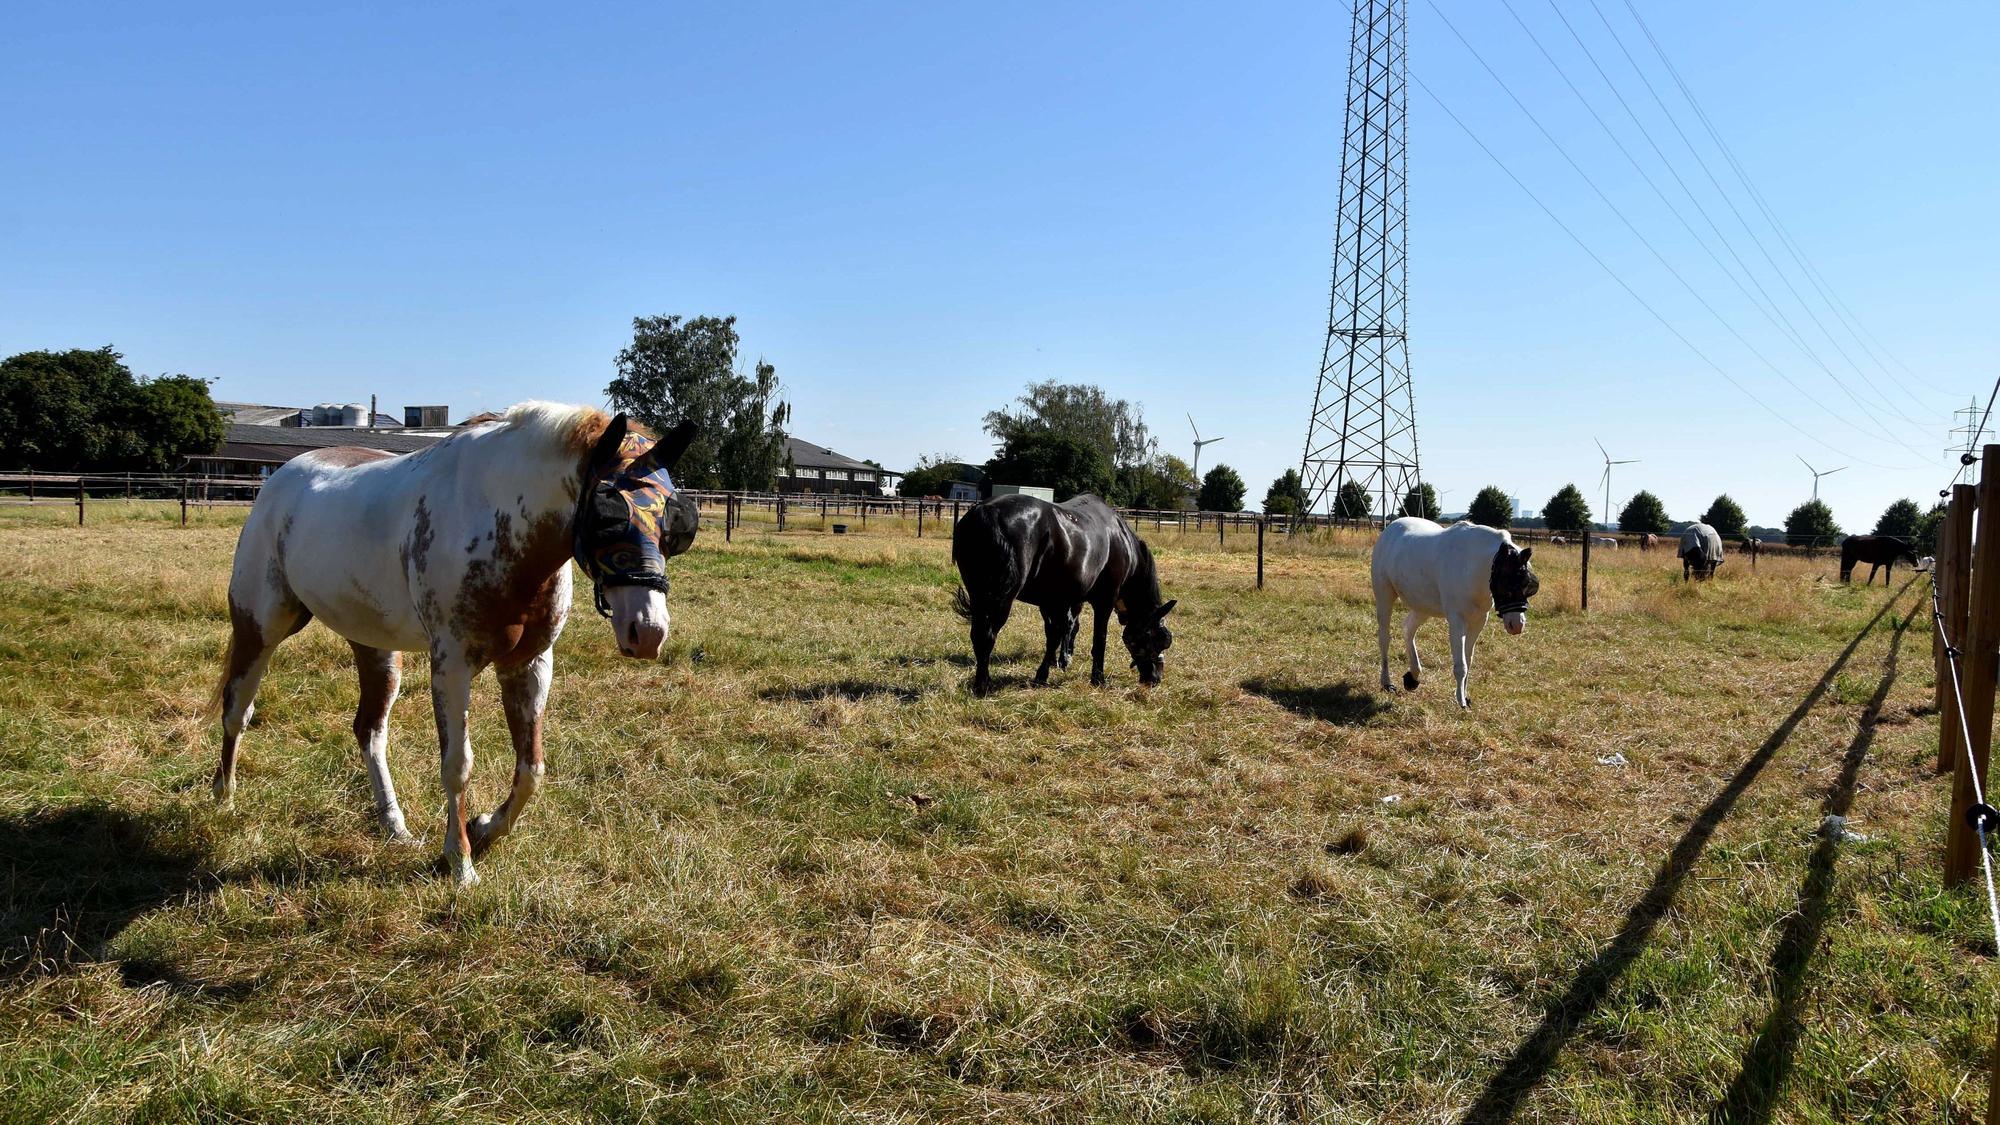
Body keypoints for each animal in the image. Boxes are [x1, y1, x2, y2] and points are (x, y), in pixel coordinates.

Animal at [211, 403, 699, 886]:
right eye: (608, 516)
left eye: (674, 524)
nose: (648, 630)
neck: (501, 526)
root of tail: (278, 481)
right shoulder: (452, 666)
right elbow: (457, 766)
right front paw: (460, 862)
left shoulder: (529, 665)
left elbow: (531, 770)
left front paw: (483, 830)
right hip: (261, 628)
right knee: (238, 709)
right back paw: (224, 797)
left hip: (375, 648)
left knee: (370, 731)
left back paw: (394, 825)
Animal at [952, 493, 1175, 695]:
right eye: (1159, 639)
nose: (1155, 678)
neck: (1121, 541)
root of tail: (985, 511)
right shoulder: (1104, 601)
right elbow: (1098, 640)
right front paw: (1097, 679)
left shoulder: (1055, 601)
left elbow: (1055, 634)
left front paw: (1046, 671)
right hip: (1001, 598)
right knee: (987, 636)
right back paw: (983, 685)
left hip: (978, 595)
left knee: (978, 635)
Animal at [1372, 517, 1540, 710]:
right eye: (1507, 582)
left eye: (1526, 584)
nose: (1517, 625)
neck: (1472, 565)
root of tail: (1391, 528)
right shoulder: (1457, 621)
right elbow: (1461, 665)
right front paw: (1461, 702)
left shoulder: (1479, 621)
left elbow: (1468, 659)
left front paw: (1465, 696)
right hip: (1384, 596)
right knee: (1385, 638)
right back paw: (1387, 682)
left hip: (1423, 608)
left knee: (1408, 629)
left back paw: (1412, 677)